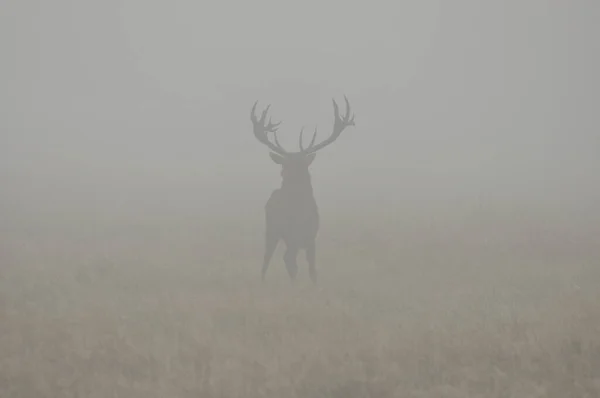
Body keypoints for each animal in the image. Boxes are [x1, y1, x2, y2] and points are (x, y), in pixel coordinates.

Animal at [250, 96, 354, 282]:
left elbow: (312, 268)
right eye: (285, 164)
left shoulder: (310, 236)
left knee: (280, 258)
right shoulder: (298, 236)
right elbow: (298, 264)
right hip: (276, 230)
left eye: (298, 164)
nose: (284, 173)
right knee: (275, 257)